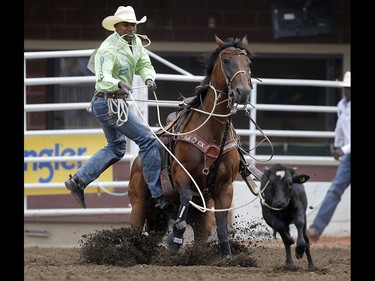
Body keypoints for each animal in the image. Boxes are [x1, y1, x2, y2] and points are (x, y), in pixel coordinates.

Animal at [128, 35, 254, 258]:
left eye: (248, 63)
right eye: (226, 61)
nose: (243, 92)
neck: (212, 133)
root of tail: (137, 162)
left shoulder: (225, 187)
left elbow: (222, 223)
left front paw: (227, 255)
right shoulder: (181, 175)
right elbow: (186, 197)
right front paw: (176, 238)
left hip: (191, 217)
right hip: (139, 204)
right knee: (136, 228)